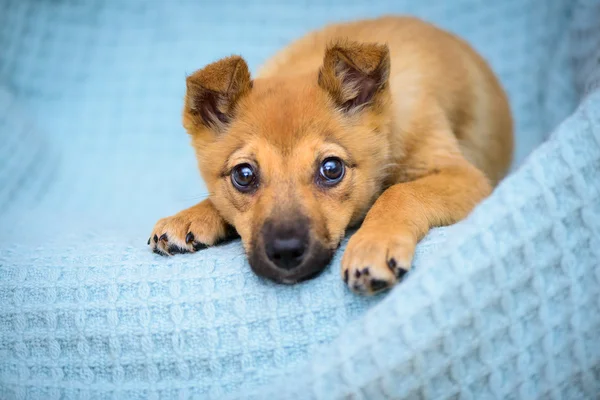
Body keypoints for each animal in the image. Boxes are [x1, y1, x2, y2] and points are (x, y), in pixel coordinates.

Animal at [149, 16, 510, 294]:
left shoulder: (464, 176)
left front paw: (373, 243)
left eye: (332, 168)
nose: (285, 252)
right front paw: (192, 214)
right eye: (244, 175)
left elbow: (400, 192)